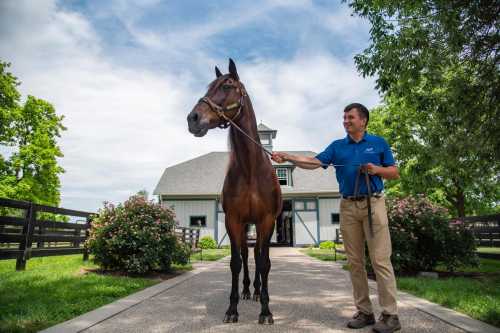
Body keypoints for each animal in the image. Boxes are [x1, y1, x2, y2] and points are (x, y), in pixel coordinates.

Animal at [187, 58, 282, 322]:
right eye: (209, 86)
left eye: (227, 85)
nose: (193, 118)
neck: (250, 169)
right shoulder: (233, 220)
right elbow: (236, 263)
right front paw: (232, 308)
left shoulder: (267, 220)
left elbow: (264, 263)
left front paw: (266, 311)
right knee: (247, 255)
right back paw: (248, 290)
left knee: (258, 255)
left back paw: (258, 293)